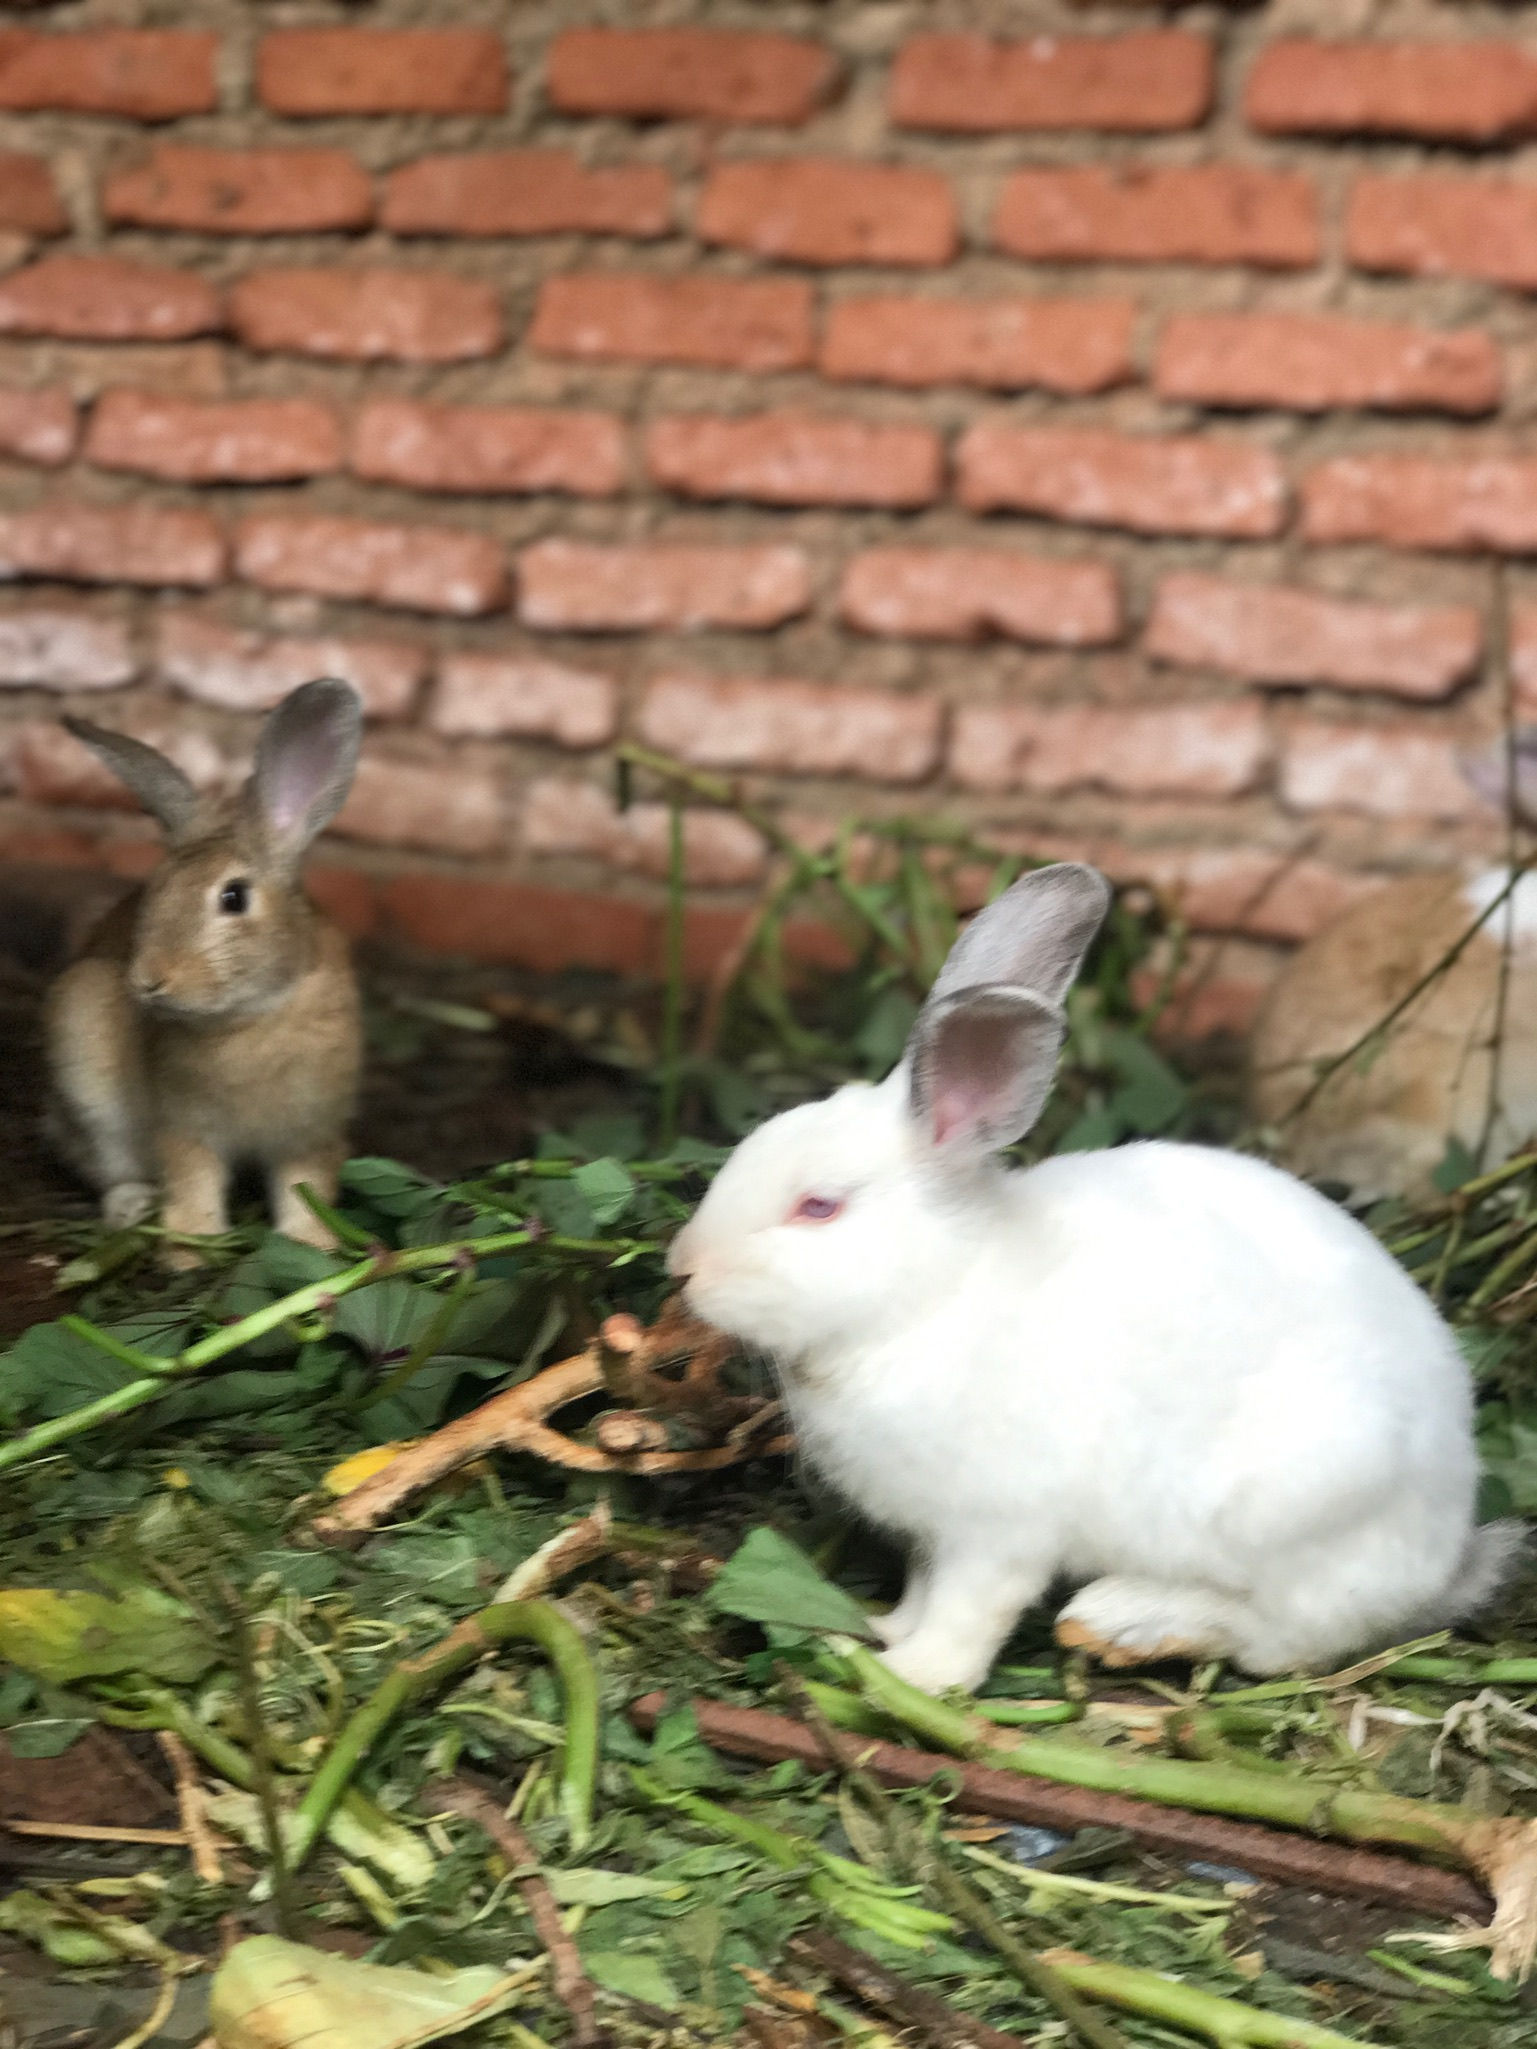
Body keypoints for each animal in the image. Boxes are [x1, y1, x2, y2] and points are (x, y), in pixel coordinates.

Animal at [45, 678, 363, 1269]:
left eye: (233, 897)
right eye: (155, 891)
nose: (149, 980)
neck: (252, 1019)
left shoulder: (311, 1131)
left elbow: (305, 1185)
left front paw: (312, 1245)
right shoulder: (184, 1127)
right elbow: (193, 1177)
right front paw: (191, 1249)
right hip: (84, 1064)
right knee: (107, 1165)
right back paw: (131, 1208)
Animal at [667, 863, 1517, 1694]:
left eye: (818, 1206)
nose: (682, 1266)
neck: (930, 1294)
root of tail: (1443, 1548)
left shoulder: (995, 1533)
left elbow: (967, 1613)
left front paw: (910, 1675)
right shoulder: (933, 1537)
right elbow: (922, 1588)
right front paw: (886, 1629)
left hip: (1298, 1507)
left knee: (1282, 1641)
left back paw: (1125, 1621)